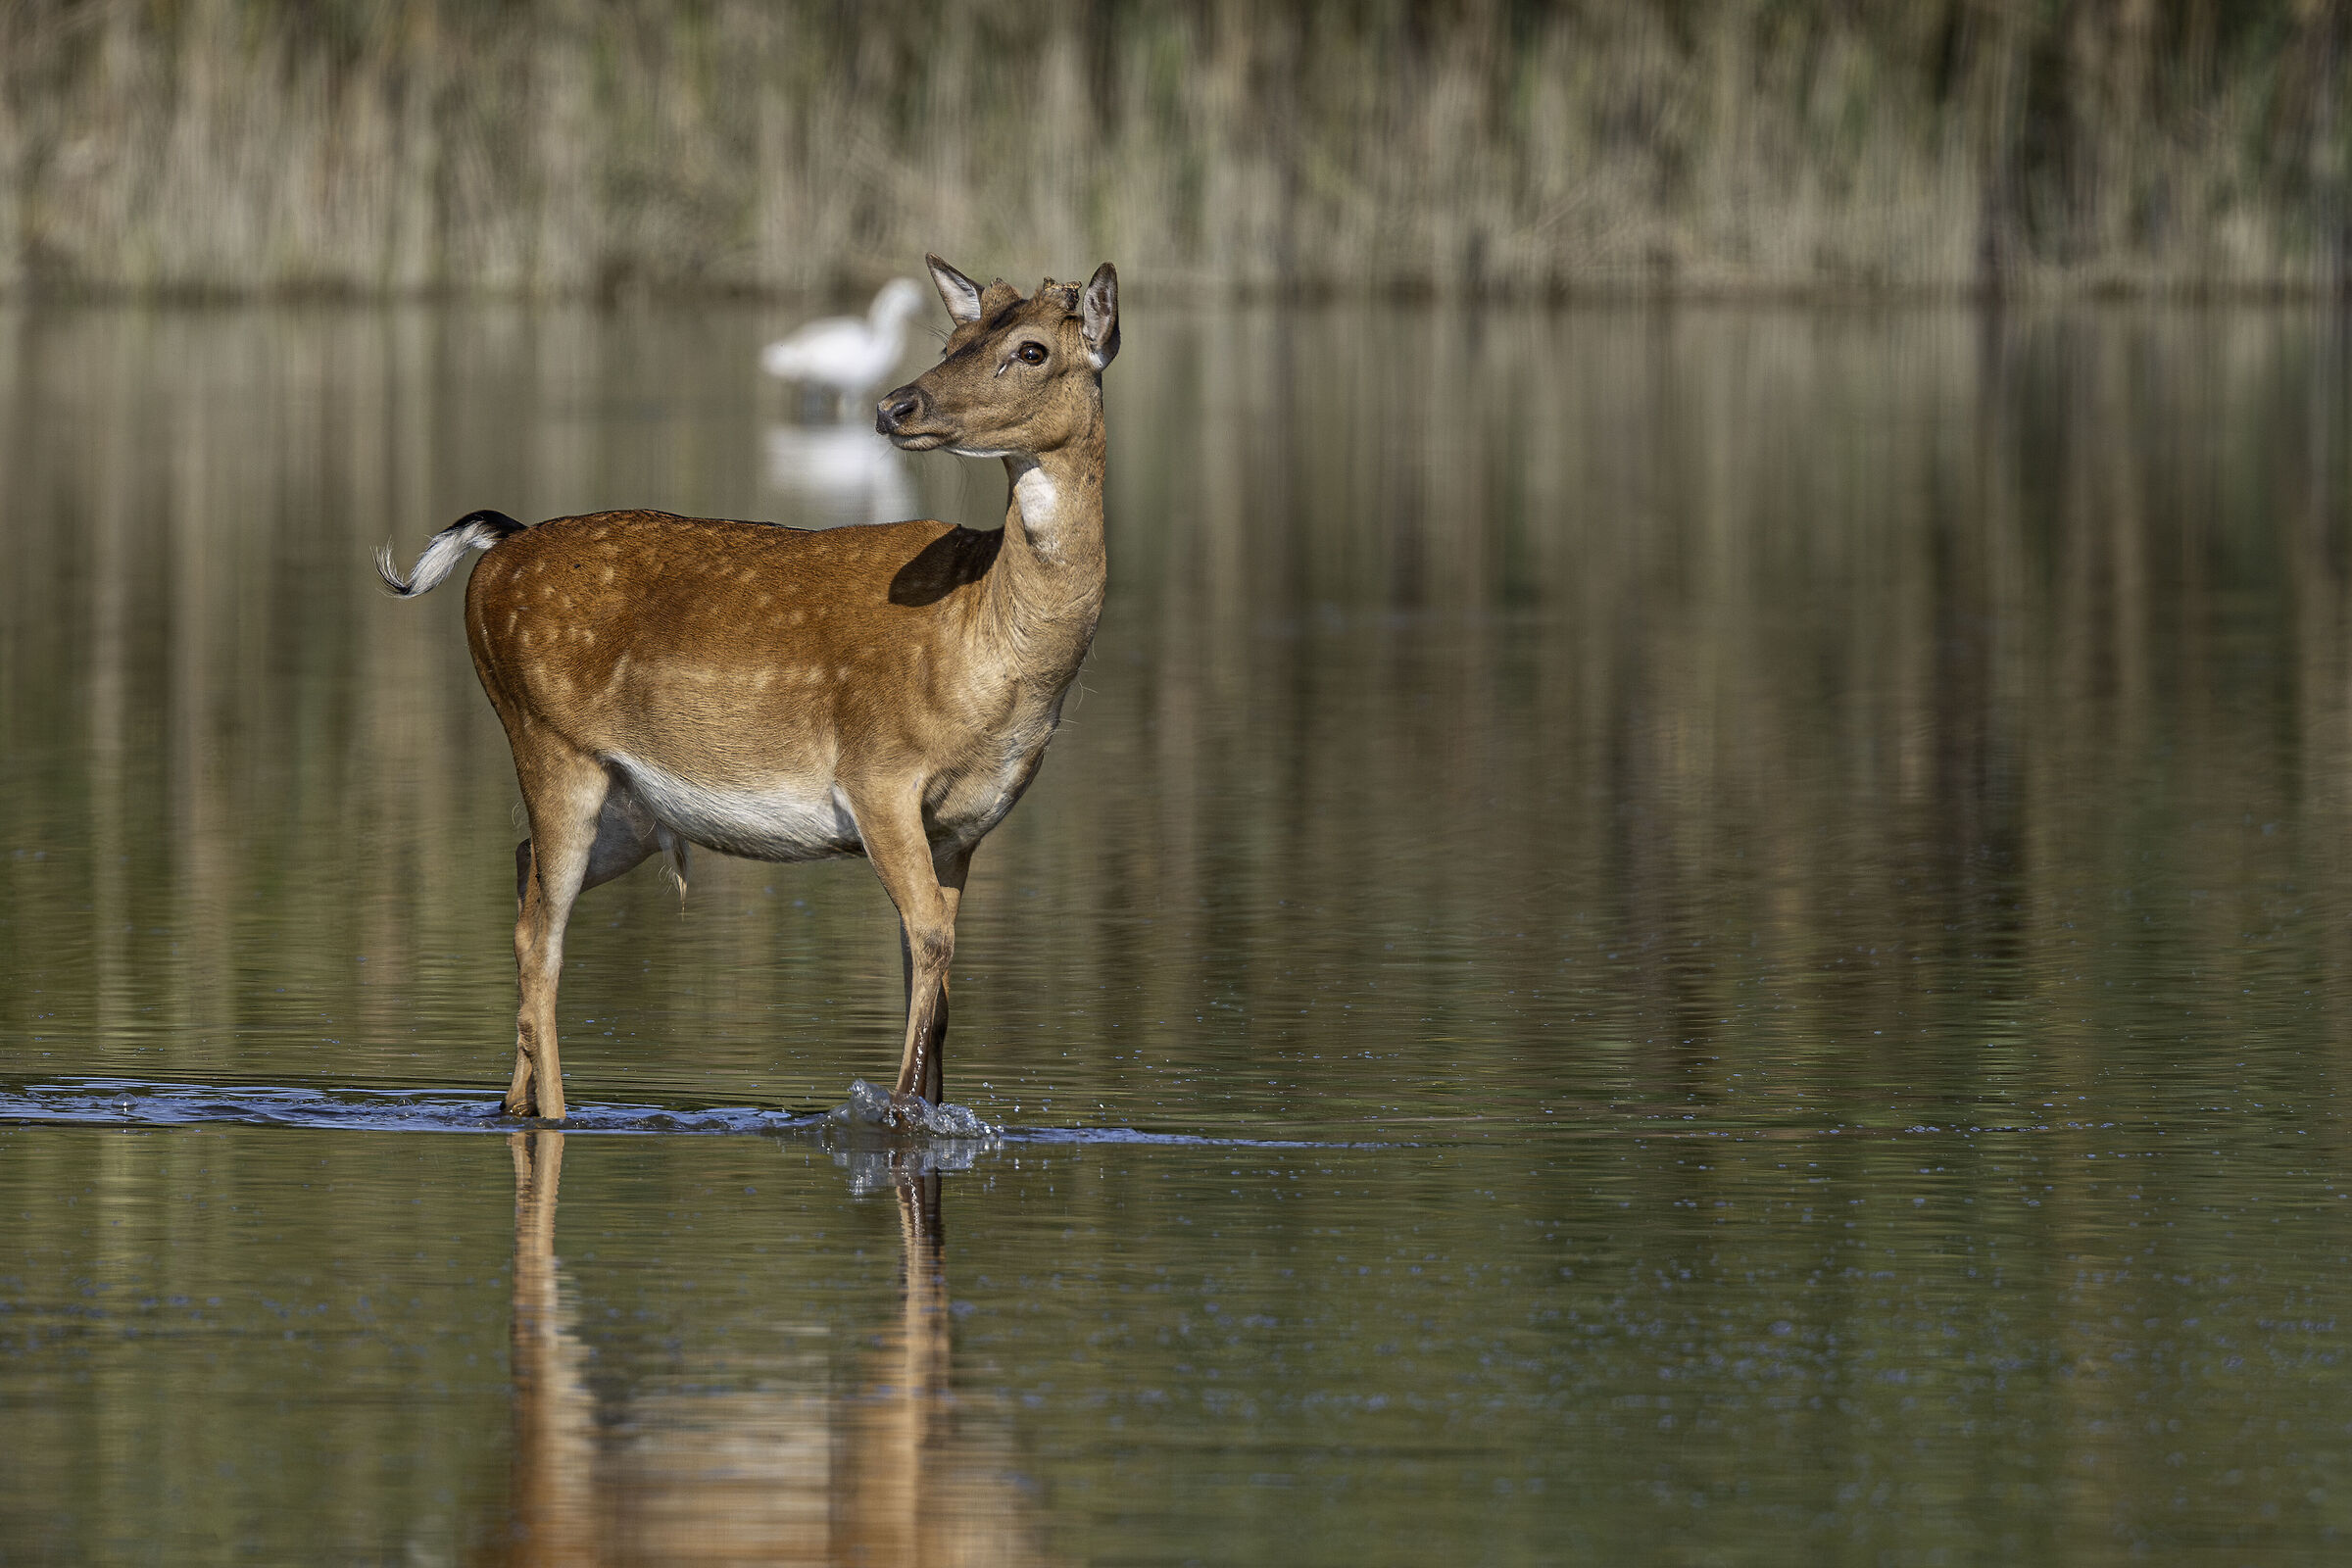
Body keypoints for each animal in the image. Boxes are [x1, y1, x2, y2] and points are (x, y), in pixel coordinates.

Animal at [377, 256, 1119, 1125]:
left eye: (1032, 349)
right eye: (951, 340)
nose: (895, 405)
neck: (990, 650)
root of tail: (497, 547)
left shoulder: (964, 827)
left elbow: (932, 970)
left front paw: (925, 1109)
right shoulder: (877, 773)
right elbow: (931, 943)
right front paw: (897, 1112)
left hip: (631, 807)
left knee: (524, 868)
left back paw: (514, 1101)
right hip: (546, 739)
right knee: (542, 937)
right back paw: (557, 1111)